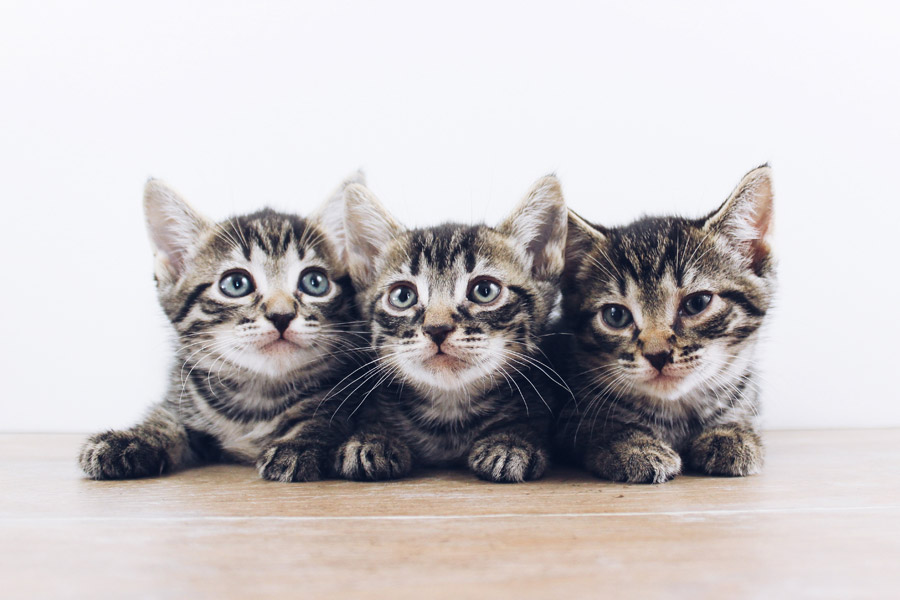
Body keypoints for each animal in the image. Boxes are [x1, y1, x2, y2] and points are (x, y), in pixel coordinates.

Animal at [77, 175, 364, 482]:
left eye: (315, 282)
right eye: (236, 284)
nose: (281, 315)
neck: (258, 395)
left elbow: (323, 419)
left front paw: (298, 443)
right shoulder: (184, 397)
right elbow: (166, 421)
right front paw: (131, 438)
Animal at [330, 175, 568, 482]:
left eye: (484, 290)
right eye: (402, 296)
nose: (437, 328)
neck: (449, 415)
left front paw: (511, 441)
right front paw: (372, 439)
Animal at [556, 165, 772, 482]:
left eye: (697, 303)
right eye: (615, 315)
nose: (657, 354)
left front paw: (731, 434)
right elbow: (595, 428)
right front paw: (632, 445)